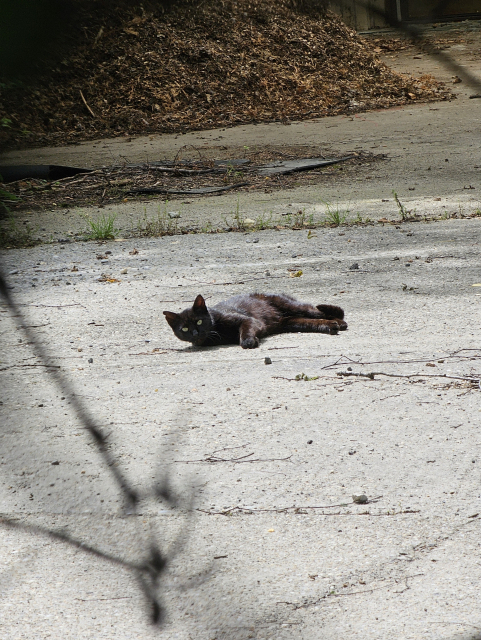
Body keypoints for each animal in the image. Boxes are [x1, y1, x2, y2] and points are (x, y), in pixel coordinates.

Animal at [163, 292, 346, 348]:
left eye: (199, 322)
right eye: (184, 329)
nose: (195, 333)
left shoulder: (249, 320)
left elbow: (245, 330)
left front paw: (248, 341)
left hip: (292, 306)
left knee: (321, 312)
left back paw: (340, 323)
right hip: (292, 322)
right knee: (314, 321)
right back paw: (332, 326)